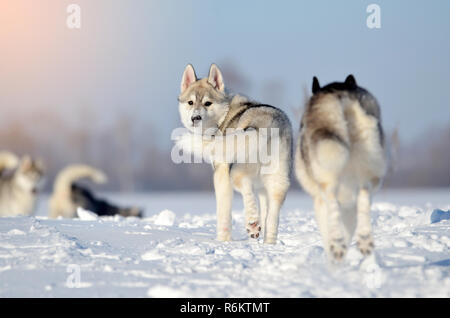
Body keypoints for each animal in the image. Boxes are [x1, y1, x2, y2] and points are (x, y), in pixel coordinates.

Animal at [176, 64, 292, 243]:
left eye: (207, 103)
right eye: (190, 102)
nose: (195, 118)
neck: (223, 116)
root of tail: (267, 125)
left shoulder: (221, 173)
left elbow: (223, 212)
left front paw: (223, 240)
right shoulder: (263, 188)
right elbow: (266, 212)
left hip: (236, 171)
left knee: (245, 188)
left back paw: (252, 222)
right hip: (278, 181)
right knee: (272, 217)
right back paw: (268, 243)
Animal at [296, 75, 386, 260]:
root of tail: (339, 94)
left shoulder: (320, 203)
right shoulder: (350, 206)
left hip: (327, 180)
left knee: (333, 204)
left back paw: (337, 244)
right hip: (368, 166)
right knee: (364, 196)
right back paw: (365, 240)